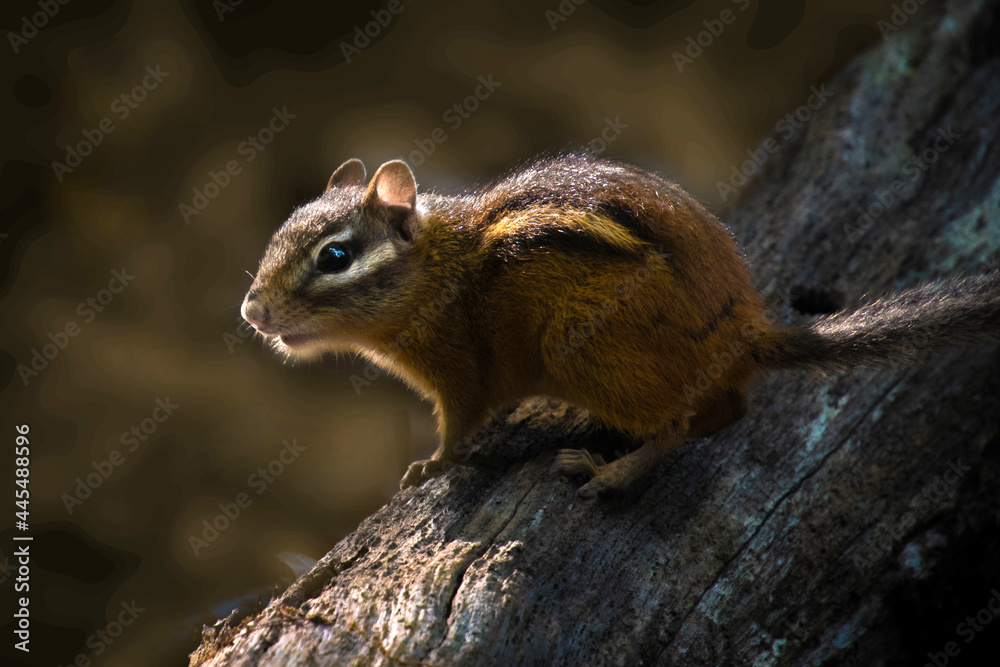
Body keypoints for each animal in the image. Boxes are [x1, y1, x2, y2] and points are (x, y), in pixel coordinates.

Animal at [241, 154, 1000, 498]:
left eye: (335, 256)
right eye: (276, 236)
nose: (251, 311)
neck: (437, 267)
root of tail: (746, 333)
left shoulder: (459, 373)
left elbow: (458, 428)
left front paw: (430, 464)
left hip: (578, 344)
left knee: (687, 423)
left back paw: (608, 473)